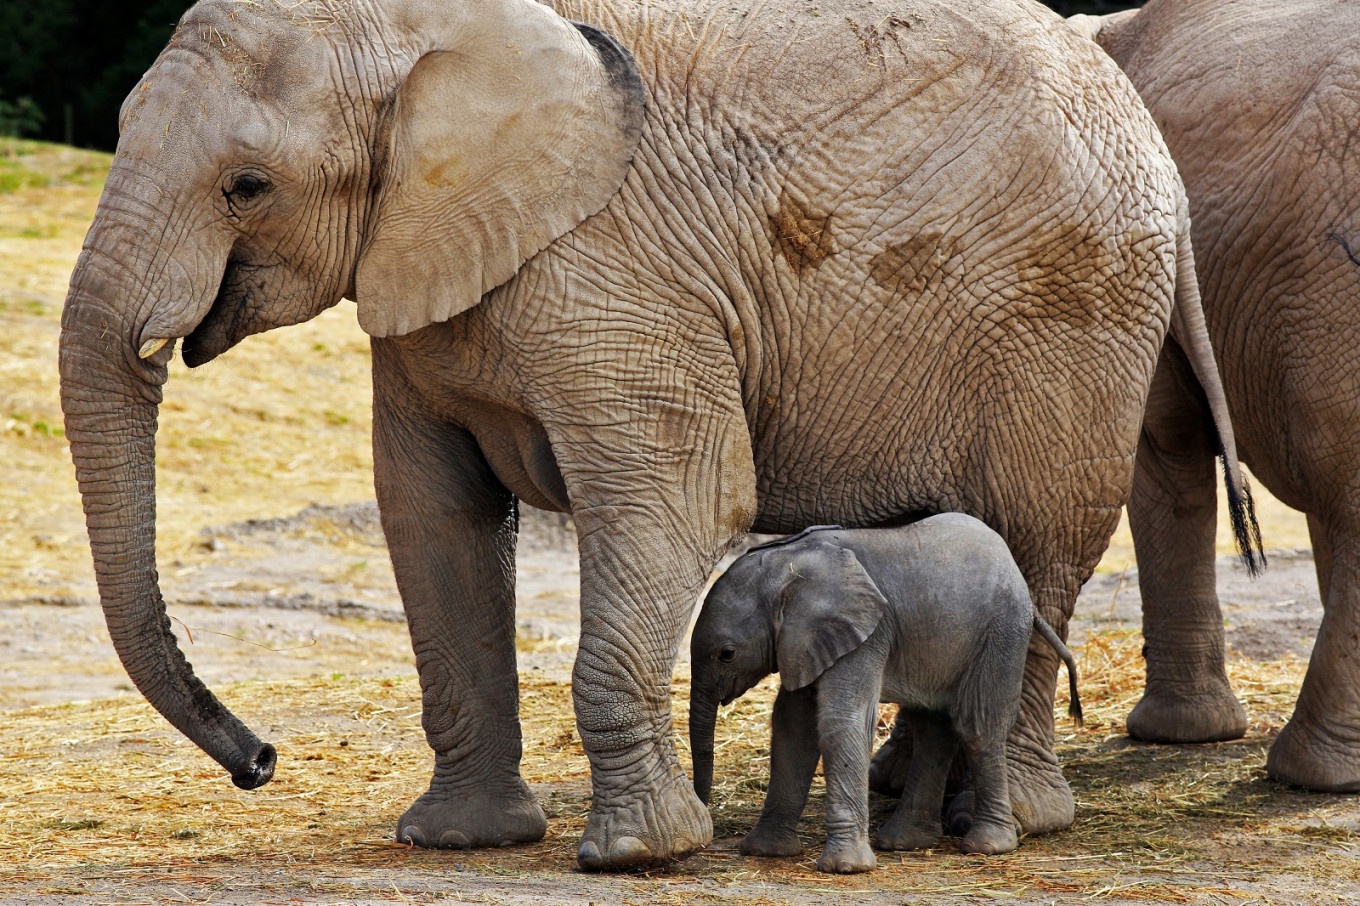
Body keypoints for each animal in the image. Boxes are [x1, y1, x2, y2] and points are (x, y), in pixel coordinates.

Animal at [690, 508, 1082, 870]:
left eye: (727, 654)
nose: (708, 824)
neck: (789, 563)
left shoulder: (866, 633)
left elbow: (840, 721)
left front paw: (845, 868)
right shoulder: (807, 640)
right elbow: (793, 725)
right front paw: (765, 851)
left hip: (1002, 631)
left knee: (978, 726)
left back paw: (987, 846)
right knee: (933, 728)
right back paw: (905, 841)